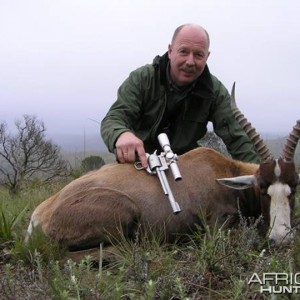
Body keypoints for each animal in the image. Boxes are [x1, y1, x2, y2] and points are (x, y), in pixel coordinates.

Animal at [24, 85, 298, 258]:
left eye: (293, 187)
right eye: (262, 188)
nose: (281, 240)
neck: (222, 170)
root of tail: (40, 214)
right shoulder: (217, 226)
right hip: (123, 213)